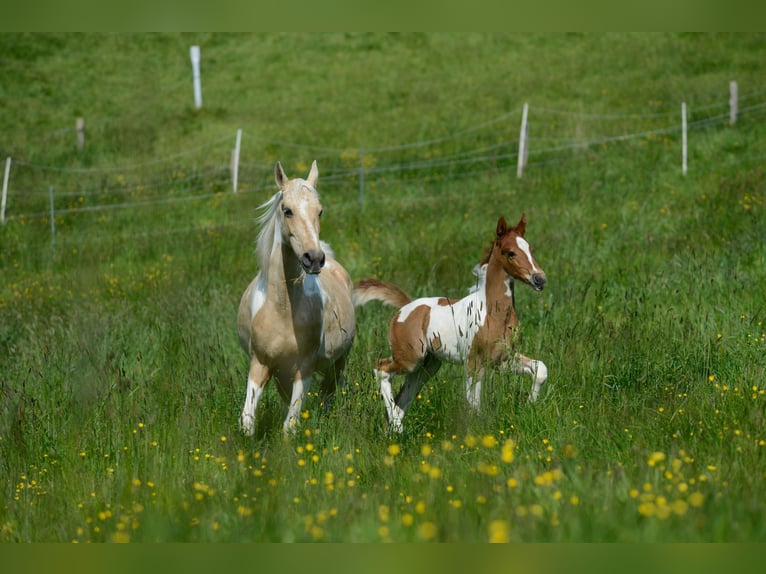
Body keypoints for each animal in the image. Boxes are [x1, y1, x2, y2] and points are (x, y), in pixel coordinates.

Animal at [237, 162, 356, 436]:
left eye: (319, 211)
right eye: (287, 210)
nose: (314, 259)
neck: (282, 309)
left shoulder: (305, 367)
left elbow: (289, 425)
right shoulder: (260, 364)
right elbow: (247, 420)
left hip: (339, 360)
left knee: (330, 391)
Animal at [356, 215, 548, 432]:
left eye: (530, 249)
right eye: (511, 253)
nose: (539, 279)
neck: (493, 314)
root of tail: (406, 308)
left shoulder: (502, 360)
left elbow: (540, 370)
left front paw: (529, 405)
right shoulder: (474, 362)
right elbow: (473, 402)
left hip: (427, 366)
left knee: (404, 395)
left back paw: (395, 428)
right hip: (410, 358)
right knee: (381, 368)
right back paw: (397, 427)